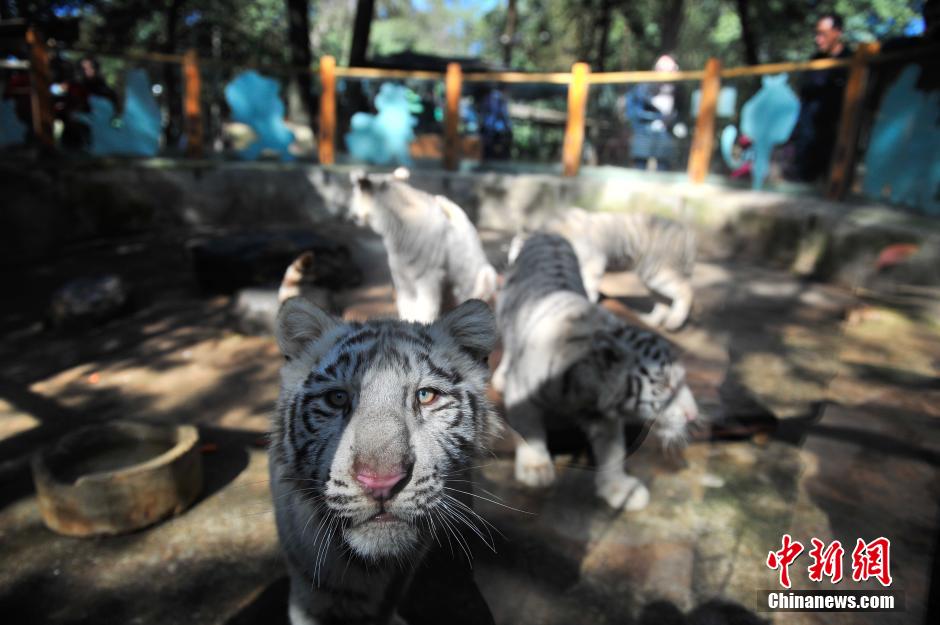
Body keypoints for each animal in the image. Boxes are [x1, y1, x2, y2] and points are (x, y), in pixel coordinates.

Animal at [350, 169, 500, 322]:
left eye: (353, 194)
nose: (352, 215)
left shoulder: (429, 273)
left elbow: (426, 306)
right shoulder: (401, 273)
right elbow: (406, 303)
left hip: (484, 275)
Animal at [492, 232, 696, 510]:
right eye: (665, 385)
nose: (693, 416)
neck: (584, 391)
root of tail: (545, 233)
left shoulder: (604, 416)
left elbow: (613, 451)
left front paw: (621, 488)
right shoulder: (522, 394)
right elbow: (530, 430)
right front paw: (536, 469)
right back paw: (500, 376)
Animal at [506, 206, 696, 332]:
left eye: (520, 259)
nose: (510, 273)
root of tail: (685, 231)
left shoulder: (593, 261)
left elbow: (588, 285)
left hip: (656, 270)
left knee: (686, 289)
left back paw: (674, 321)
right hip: (650, 276)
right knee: (663, 300)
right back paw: (651, 321)